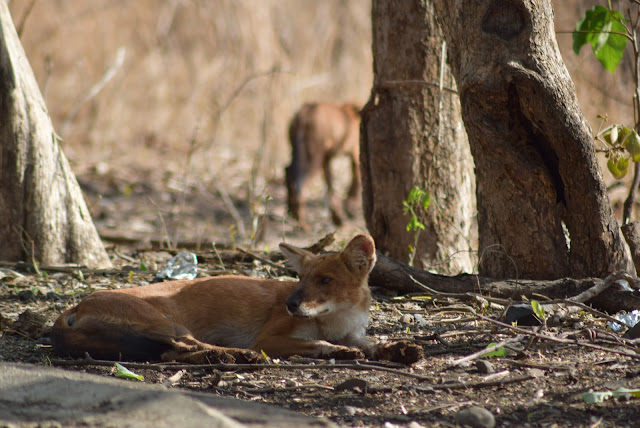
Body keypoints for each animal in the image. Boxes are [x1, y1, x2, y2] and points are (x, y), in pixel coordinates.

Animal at [51, 234, 424, 364]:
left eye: (325, 280)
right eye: (301, 279)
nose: (291, 304)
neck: (335, 320)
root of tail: (75, 304)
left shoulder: (354, 332)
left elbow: (372, 342)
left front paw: (398, 349)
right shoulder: (270, 337)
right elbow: (317, 343)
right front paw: (337, 350)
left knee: (176, 352)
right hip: (169, 322)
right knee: (188, 346)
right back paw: (241, 356)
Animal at [284, 101, 360, 229]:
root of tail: (303, 114)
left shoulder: (326, 159)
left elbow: (330, 188)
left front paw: (337, 218)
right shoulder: (356, 155)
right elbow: (355, 182)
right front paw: (350, 208)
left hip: (301, 154)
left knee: (288, 171)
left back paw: (292, 213)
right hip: (314, 159)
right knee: (300, 184)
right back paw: (303, 224)